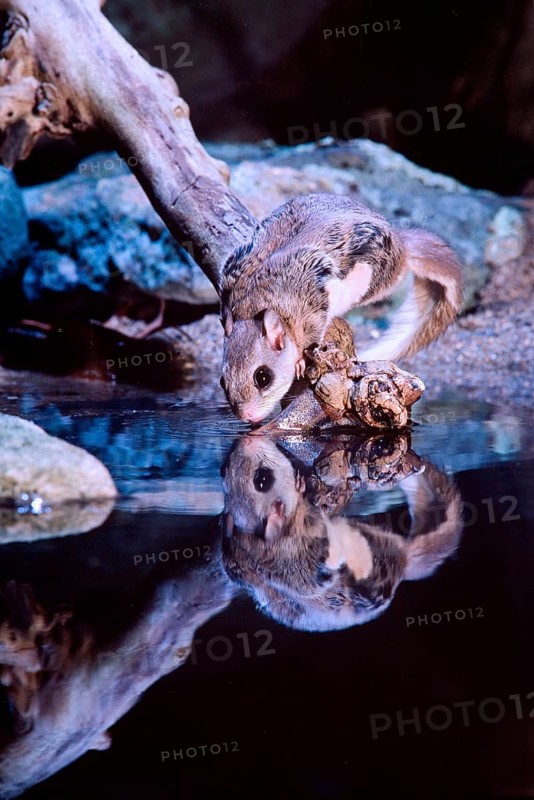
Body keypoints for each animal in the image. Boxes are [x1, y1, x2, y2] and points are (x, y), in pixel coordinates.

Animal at [219, 193, 463, 423]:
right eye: (222, 381)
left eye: (263, 377)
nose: (246, 417)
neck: (254, 304)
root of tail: (403, 246)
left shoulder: (313, 311)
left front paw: (300, 361)